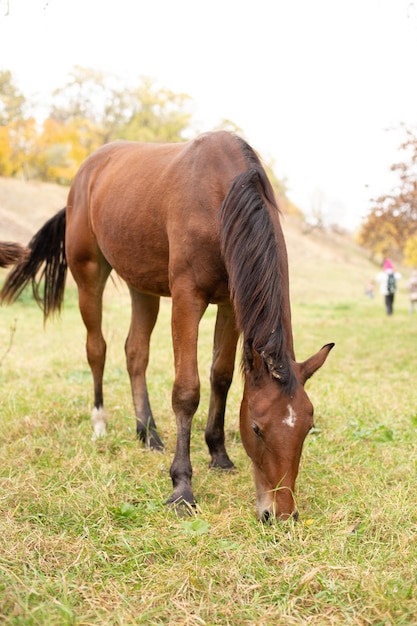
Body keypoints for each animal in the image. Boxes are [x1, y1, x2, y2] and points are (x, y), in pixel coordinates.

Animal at [0, 130, 332, 516]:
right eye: (256, 428)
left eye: (307, 427)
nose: (279, 513)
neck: (221, 197)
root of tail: (89, 169)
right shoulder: (188, 298)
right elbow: (187, 391)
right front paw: (182, 486)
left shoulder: (231, 304)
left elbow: (221, 377)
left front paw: (218, 454)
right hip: (89, 275)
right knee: (97, 349)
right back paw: (100, 422)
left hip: (142, 287)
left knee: (135, 353)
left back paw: (148, 433)